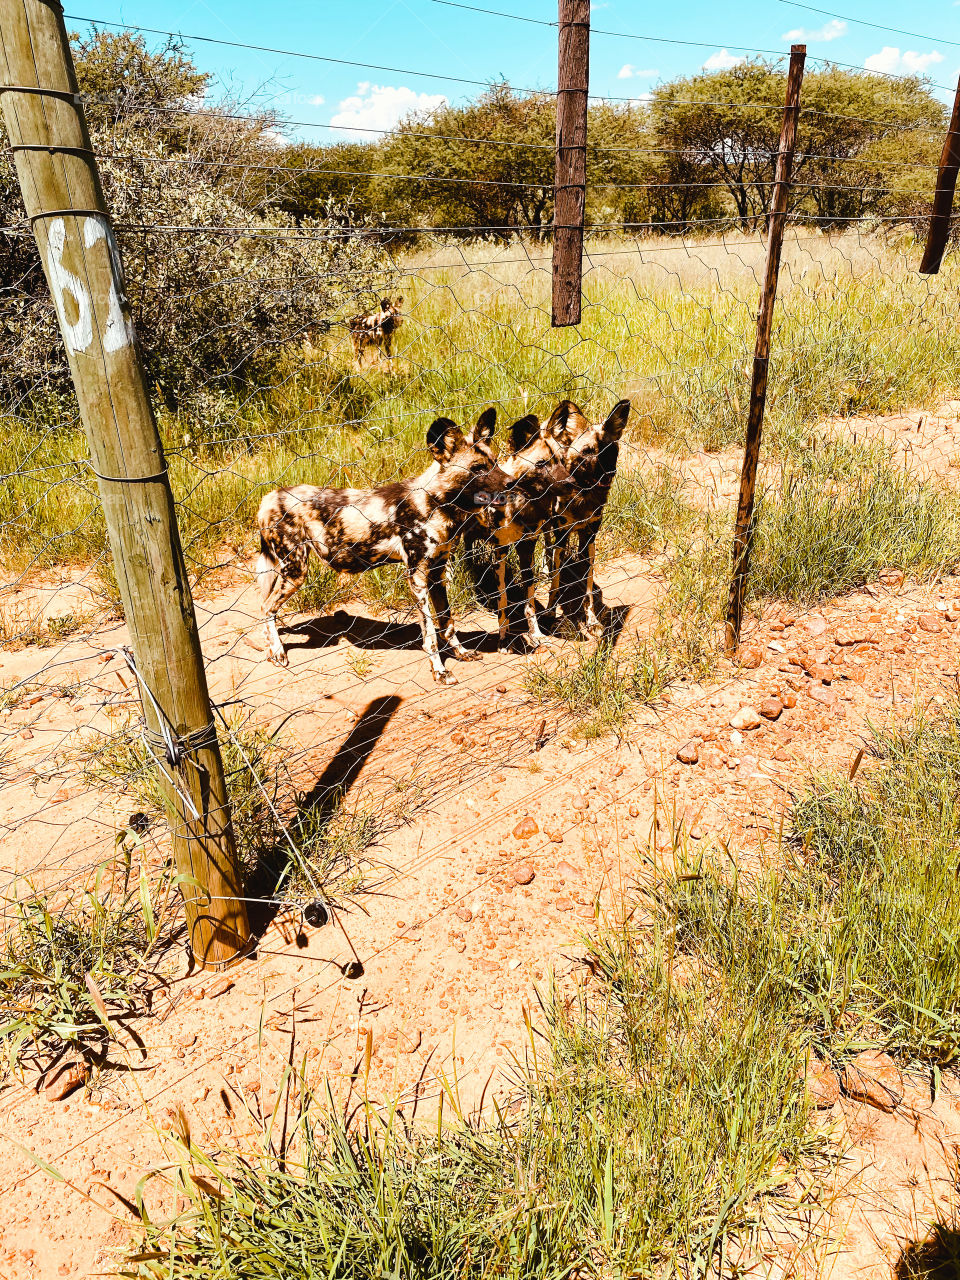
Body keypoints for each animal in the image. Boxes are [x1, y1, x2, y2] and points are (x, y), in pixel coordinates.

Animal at [256, 412, 512, 686]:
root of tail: (270, 495)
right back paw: (278, 652)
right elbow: (430, 635)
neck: (436, 502)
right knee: (266, 608)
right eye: (478, 469)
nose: (511, 482)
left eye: (495, 462)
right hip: (296, 572)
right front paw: (440, 672)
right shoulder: (417, 578)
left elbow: (447, 622)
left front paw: (461, 653)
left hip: (287, 571)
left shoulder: (436, 575)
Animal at [545, 399, 634, 634]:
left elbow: (588, 590)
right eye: (587, 452)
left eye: (611, 450)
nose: (608, 473)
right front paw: (549, 614)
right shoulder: (561, 537)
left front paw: (592, 620)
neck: (583, 496)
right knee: (546, 544)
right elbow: (555, 585)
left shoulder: (589, 540)